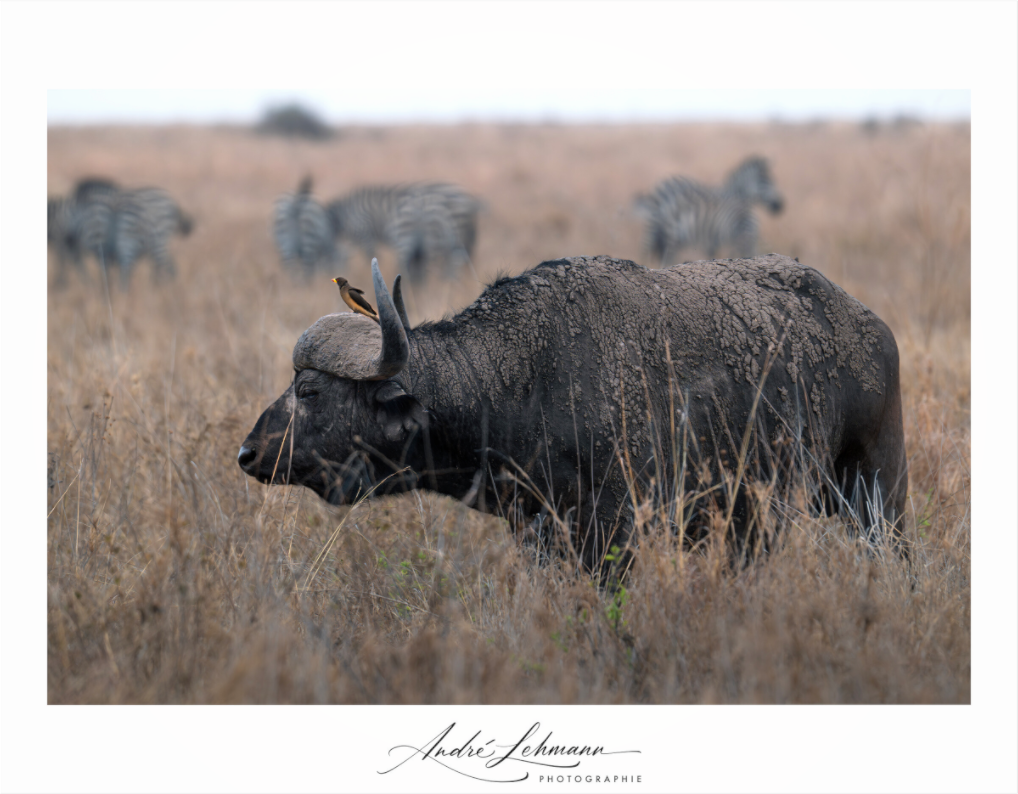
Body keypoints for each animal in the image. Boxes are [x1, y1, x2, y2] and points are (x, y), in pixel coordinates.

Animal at [239, 255, 907, 572]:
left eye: (308, 390)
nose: (248, 452)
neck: (523, 380)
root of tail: (869, 326)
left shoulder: (617, 531)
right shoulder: (540, 534)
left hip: (877, 490)